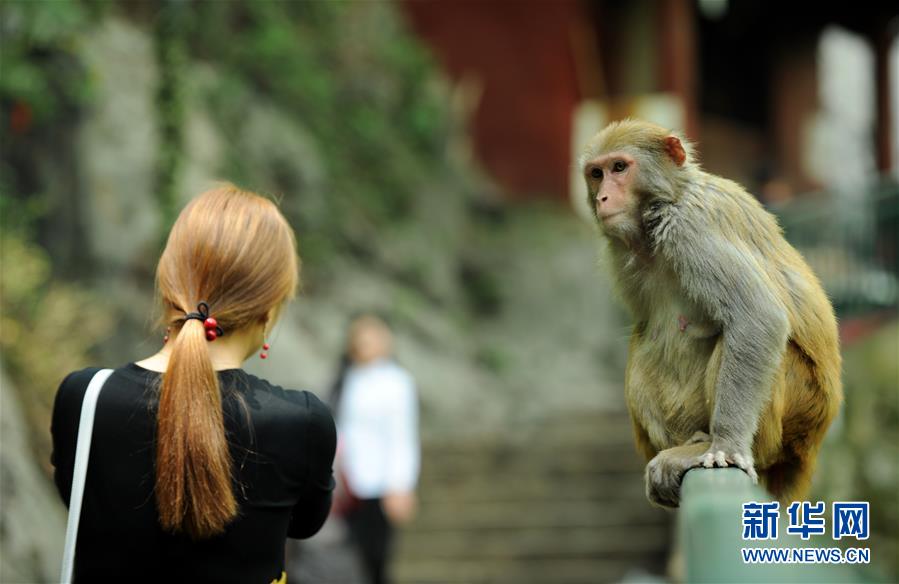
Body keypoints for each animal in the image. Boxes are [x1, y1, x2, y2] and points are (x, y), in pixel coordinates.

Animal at [584, 118, 844, 506]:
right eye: (596, 173)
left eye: (619, 167)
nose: (602, 197)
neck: (665, 204)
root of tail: (810, 444)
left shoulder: (690, 228)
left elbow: (757, 318)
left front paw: (728, 447)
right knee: (643, 341)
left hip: (798, 404)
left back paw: (713, 445)